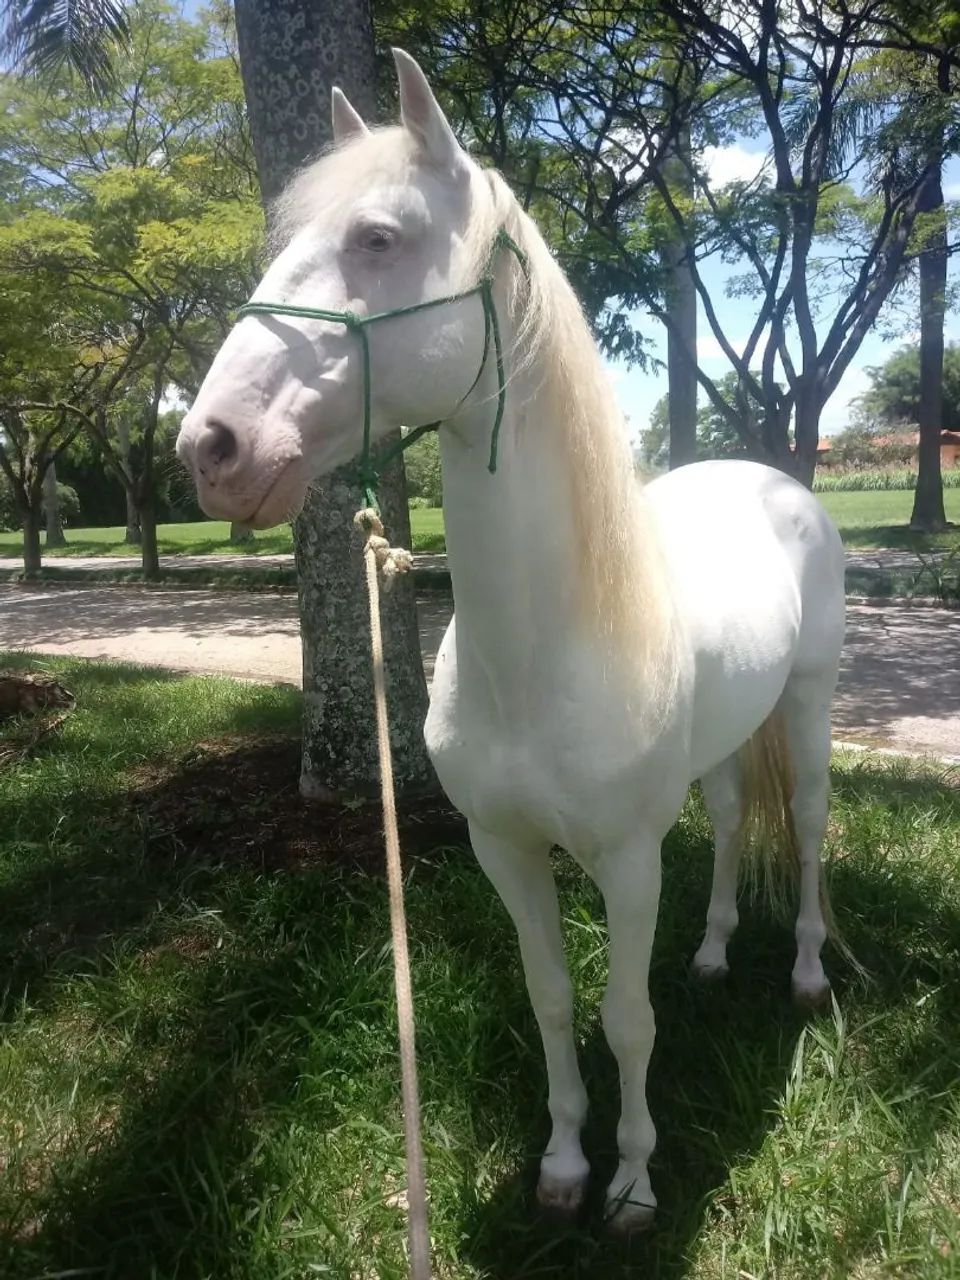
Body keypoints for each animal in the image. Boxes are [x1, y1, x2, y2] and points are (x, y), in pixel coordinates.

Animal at [176, 50, 846, 1234]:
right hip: (727, 739)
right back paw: (715, 953)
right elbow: (552, 1000)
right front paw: (567, 1163)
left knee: (805, 824)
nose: (211, 447)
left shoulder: (626, 858)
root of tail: (770, 482)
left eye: (379, 237)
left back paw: (807, 976)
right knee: (729, 821)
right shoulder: (506, 850)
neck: (541, 656)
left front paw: (632, 1182)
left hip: (807, 706)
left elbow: (626, 1017)